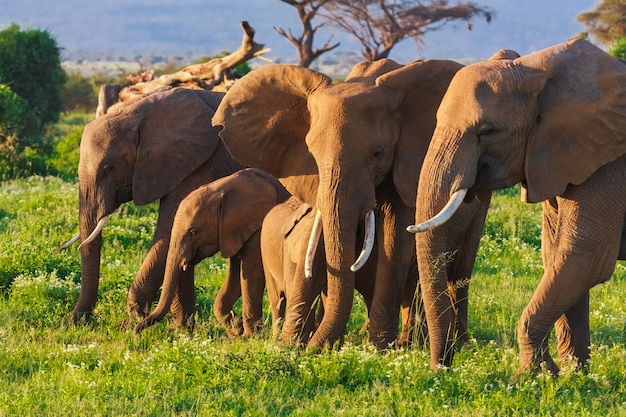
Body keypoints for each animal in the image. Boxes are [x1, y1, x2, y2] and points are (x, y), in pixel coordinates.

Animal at [63, 86, 243, 324]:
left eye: (109, 169)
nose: (72, 324)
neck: (137, 112)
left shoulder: (198, 164)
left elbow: (169, 232)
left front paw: (134, 320)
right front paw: (180, 328)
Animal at [134, 167, 290, 336]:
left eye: (193, 232)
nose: (136, 332)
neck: (225, 189)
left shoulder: (258, 230)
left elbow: (251, 274)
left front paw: (250, 337)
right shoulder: (233, 232)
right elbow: (237, 274)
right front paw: (236, 328)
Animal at [210, 56, 488, 348]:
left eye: (378, 153)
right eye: (312, 154)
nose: (313, 348)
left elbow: (395, 241)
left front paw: (378, 348)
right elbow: (321, 240)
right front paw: (309, 345)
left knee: (458, 274)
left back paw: (448, 344)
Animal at [408, 38, 624, 370]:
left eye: (487, 132)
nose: (442, 367)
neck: (537, 70)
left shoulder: (607, 164)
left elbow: (586, 256)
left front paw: (535, 374)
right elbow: (558, 256)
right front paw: (573, 374)